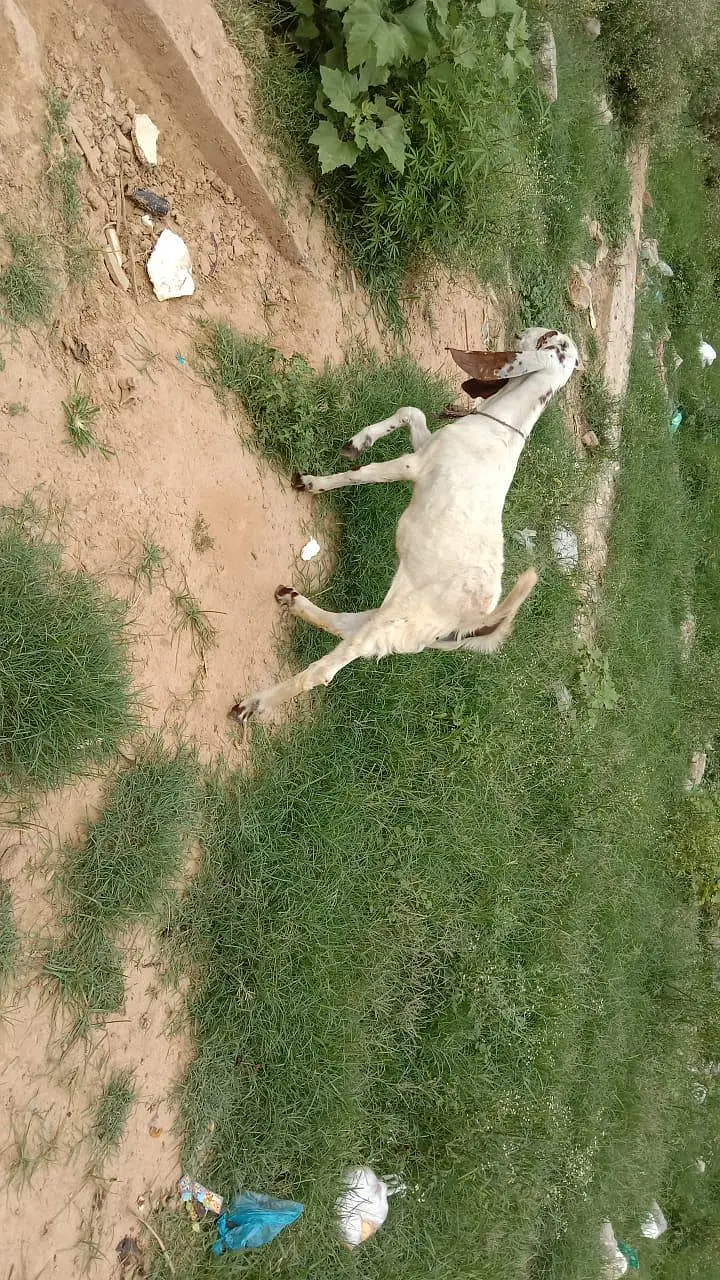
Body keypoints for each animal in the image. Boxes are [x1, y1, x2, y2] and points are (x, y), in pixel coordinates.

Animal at [230, 327, 579, 723]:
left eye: (548, 336)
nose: (520, 332)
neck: (499, 429)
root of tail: (479, 620)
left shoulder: (416, 465)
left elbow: (363, 474)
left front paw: (315, 482)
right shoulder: (425, 445)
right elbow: (411, 412)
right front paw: (358, 441)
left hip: (396, 621)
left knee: (326, 669)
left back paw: (254, 703)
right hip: (400, 624)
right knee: (346, 625)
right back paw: (294, 602)